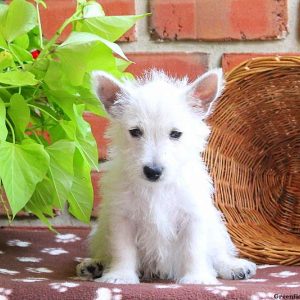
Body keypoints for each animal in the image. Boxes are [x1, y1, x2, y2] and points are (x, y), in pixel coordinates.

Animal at [76, 68, 256, 284]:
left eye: (175, 134)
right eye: (135, 132)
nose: (153, 171)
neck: (157, 188)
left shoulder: (192, 216)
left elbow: (193, 249)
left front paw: (197, 278)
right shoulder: (122, 218)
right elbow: (123, 250)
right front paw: (120, 275)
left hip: (216, 227)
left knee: (218, 253)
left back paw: (234, 267)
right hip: (100, 233)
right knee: (105, 252)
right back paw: (94, 265)